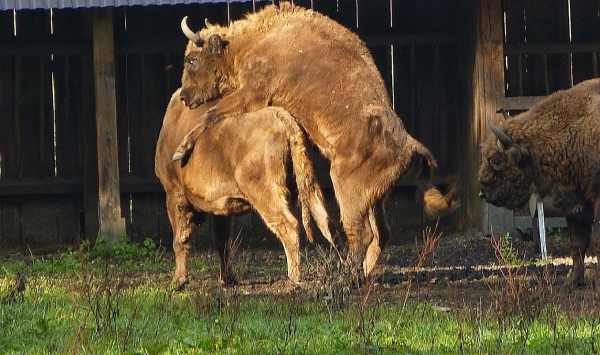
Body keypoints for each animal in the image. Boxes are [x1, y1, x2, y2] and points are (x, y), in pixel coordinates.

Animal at [154, 89, 332, 290]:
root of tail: (281, 116)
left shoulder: (174, 193)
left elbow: (180, 238)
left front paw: (178, 281)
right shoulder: (222, 208)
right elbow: (222, 241)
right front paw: (227, 279)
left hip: (266, 194)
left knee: (289, 225)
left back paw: (292, 281)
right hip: (305, 184)